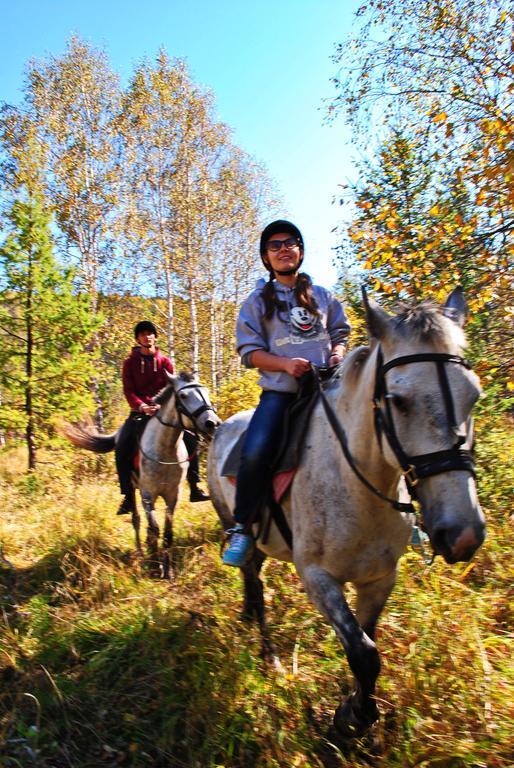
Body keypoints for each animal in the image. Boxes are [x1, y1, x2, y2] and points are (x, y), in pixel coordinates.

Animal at [64, 370, 218, 576]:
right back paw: (139, 551)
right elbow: (154, 528)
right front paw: (154, 565)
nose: (212, 423)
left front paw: (168, 570)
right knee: (135, 519)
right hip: (132, 490)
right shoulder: (147, 495)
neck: (165, 449)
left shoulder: (172, 495)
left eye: (206, 392)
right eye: (184, 396)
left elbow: (167, 531)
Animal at [205, 290, 484, 736]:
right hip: (231, 521)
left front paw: (354, 702)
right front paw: (353, 717)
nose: (464, 535)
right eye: (397, 400)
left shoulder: (379, 578)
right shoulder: (318, 578)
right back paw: (268, 653)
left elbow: (366, 642)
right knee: (252, 575)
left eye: (473, 395)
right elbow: (364, 654)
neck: (357, 483)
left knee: (253, 577)